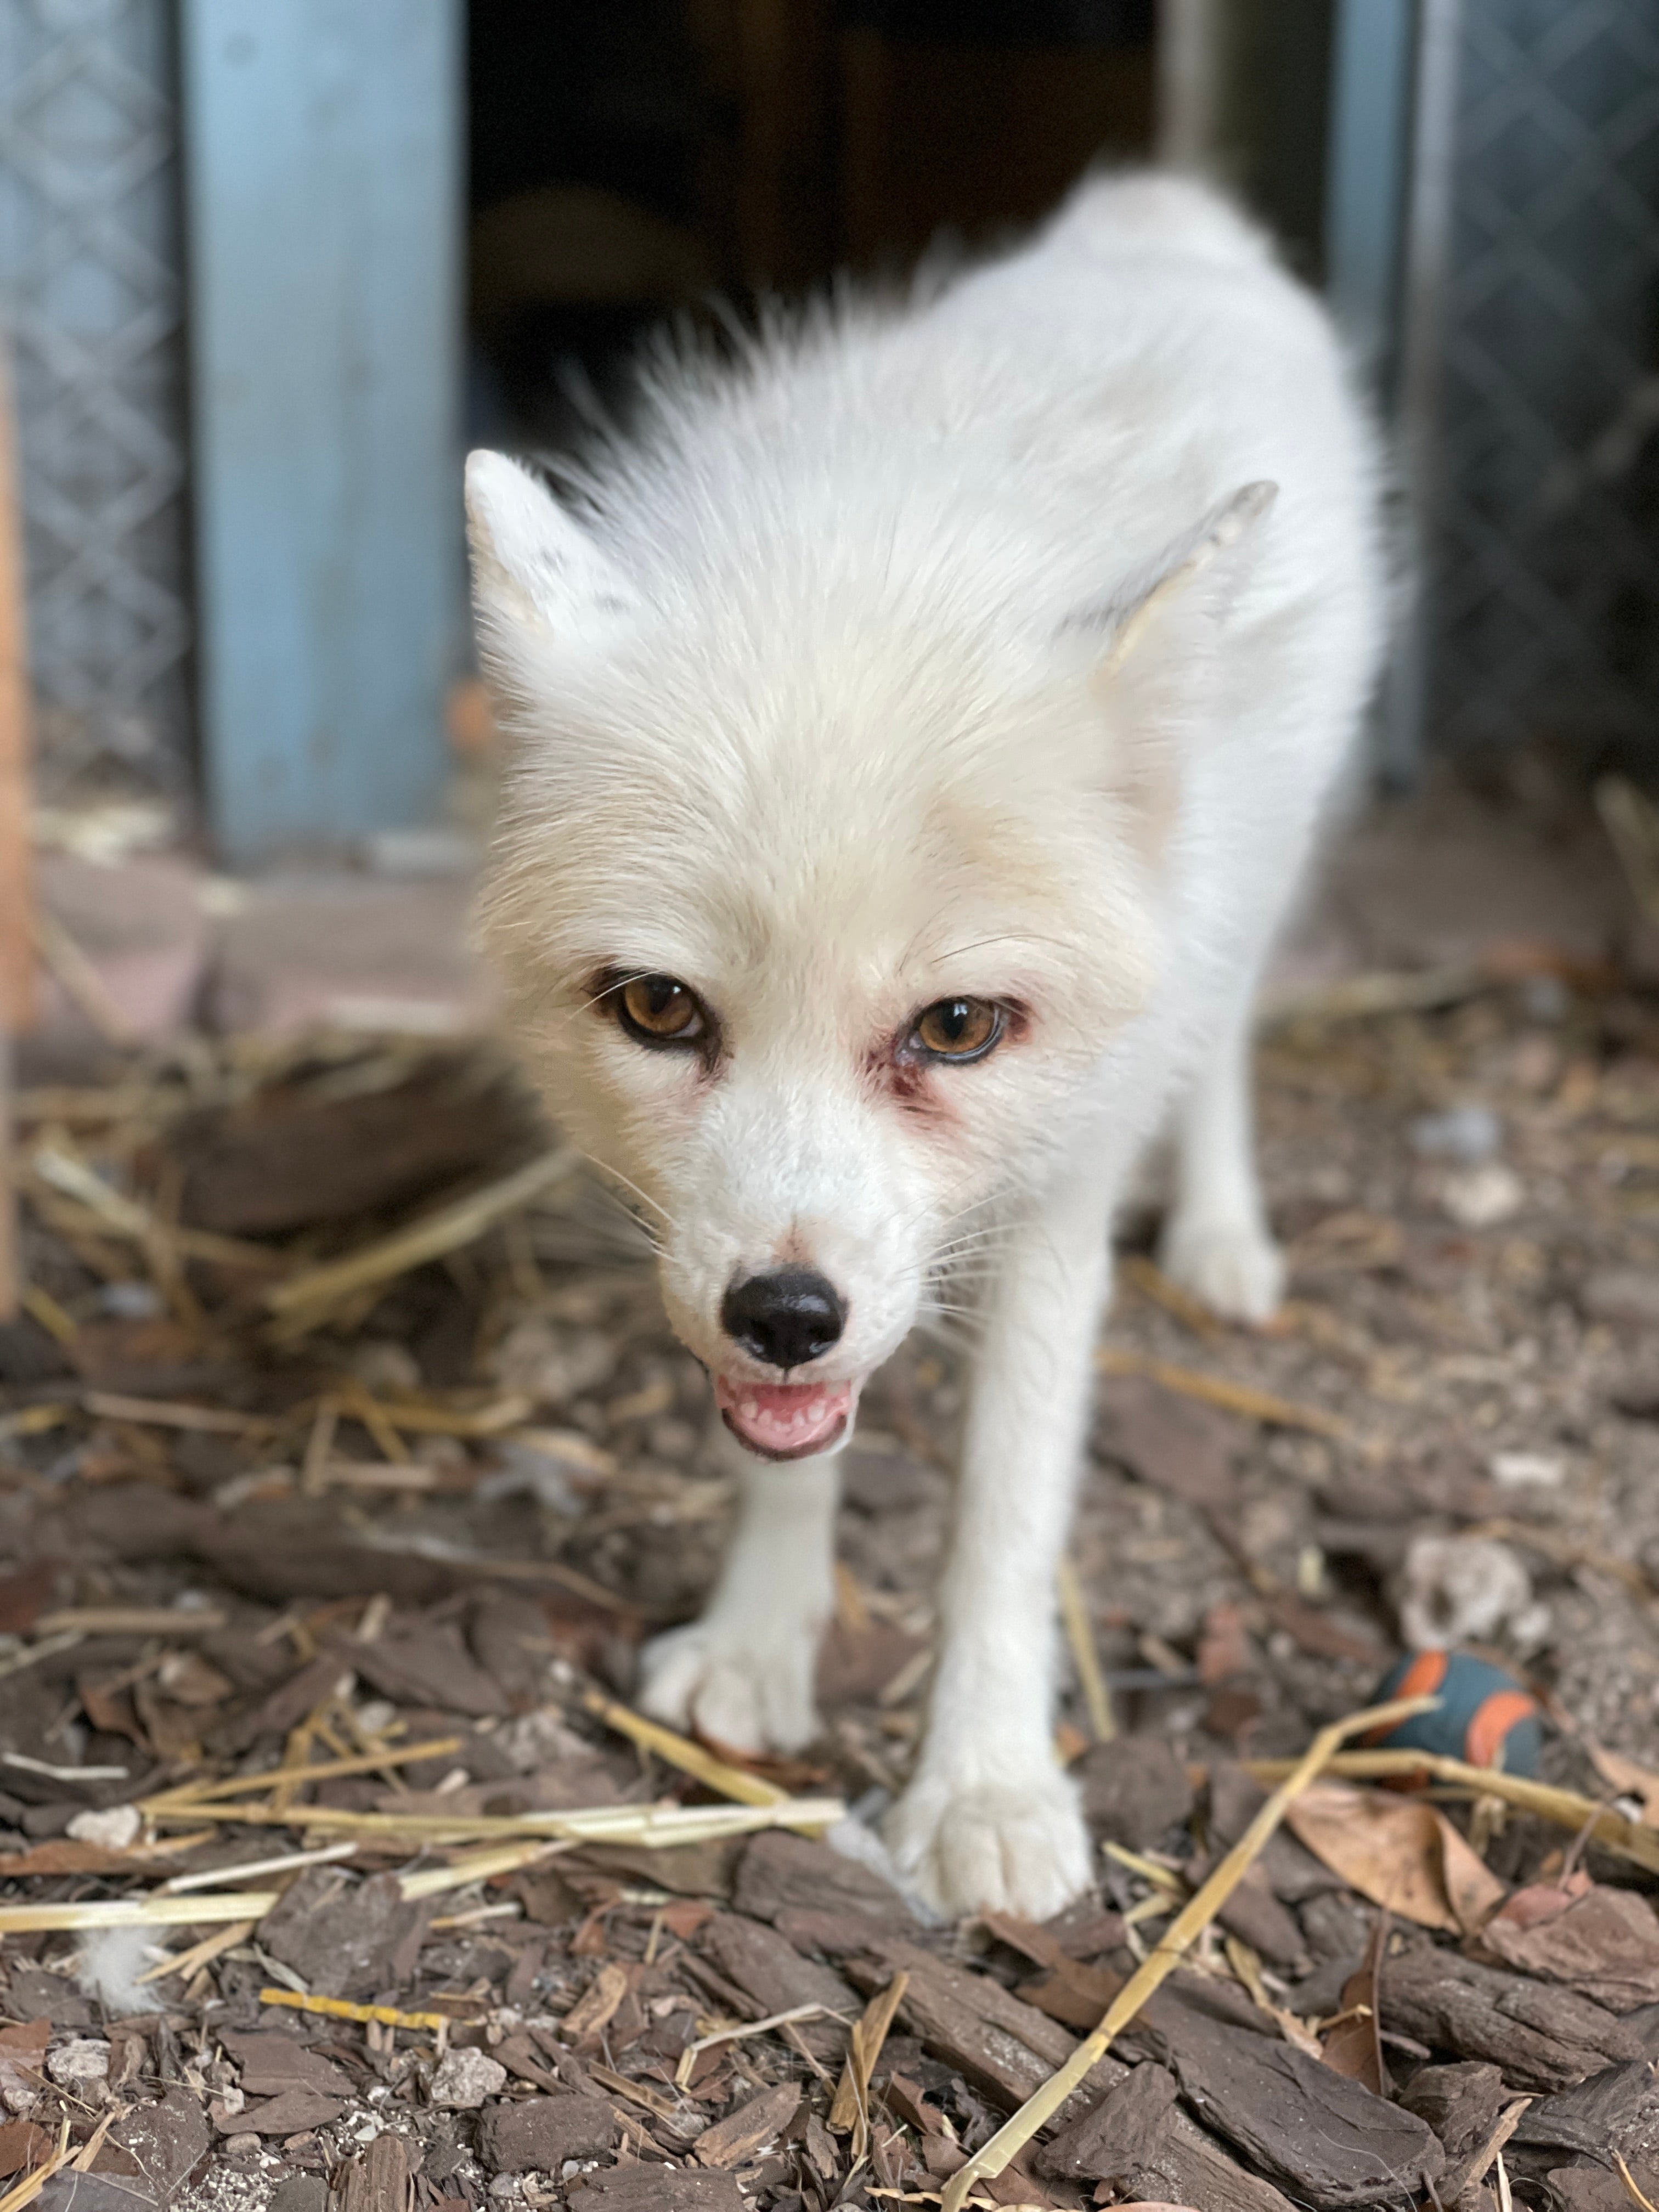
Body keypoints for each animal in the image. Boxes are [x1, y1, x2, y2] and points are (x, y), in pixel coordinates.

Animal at [469, 172, 1389, 1920]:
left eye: (956, 1029)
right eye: (661, 1010)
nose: (786, 1316)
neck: (876, 554)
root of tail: (1161, 212)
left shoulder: (1062, 1200)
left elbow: (1005, 1525)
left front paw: (984, 1788)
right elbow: (786, 1459)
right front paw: (761, 1644)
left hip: (1256, 889)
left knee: (1228, 1038)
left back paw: (1224, 1233)